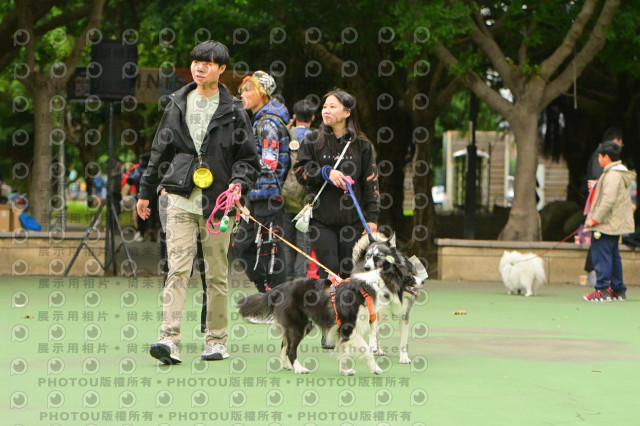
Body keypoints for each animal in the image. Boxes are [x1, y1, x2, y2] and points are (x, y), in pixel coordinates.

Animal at [236, 250, 423, 375]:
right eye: (410, 275)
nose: (422, 281)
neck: (377, 285)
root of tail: (280, 288)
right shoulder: (349, 327)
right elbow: (367, 349)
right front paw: (376, 368)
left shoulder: (342, 328)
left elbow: (342, 350)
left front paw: (344, 370)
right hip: (298, 325)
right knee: (291, 349)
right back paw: (299, 368)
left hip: (302, 324)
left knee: (285, 344)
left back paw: (287, 365)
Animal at [352, 231, 428, 364]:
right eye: (368, 256)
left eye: (378, 256)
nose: (366, 268)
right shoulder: (375, 312)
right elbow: (372, 333)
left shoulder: (404, 315)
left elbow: (403, 341)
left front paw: (404, 358)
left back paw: (378, 350)